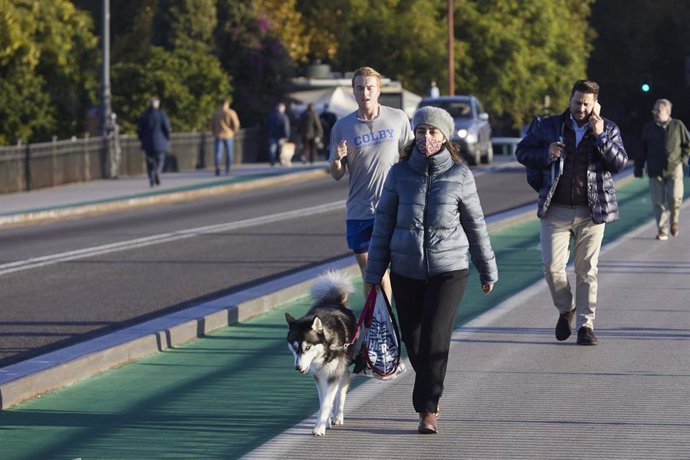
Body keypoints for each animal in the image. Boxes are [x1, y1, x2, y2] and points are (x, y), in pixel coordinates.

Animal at [284, 272, 354, 436]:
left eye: (308, 347)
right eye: (294, 347)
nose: (297, 367)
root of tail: (333, 301)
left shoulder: (333, 375)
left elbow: (328, 402)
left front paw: (319, 427)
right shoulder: (319, 376)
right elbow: (323, 402)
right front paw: (324, 421)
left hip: (342, 368)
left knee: (343, 385)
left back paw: (338, 416)